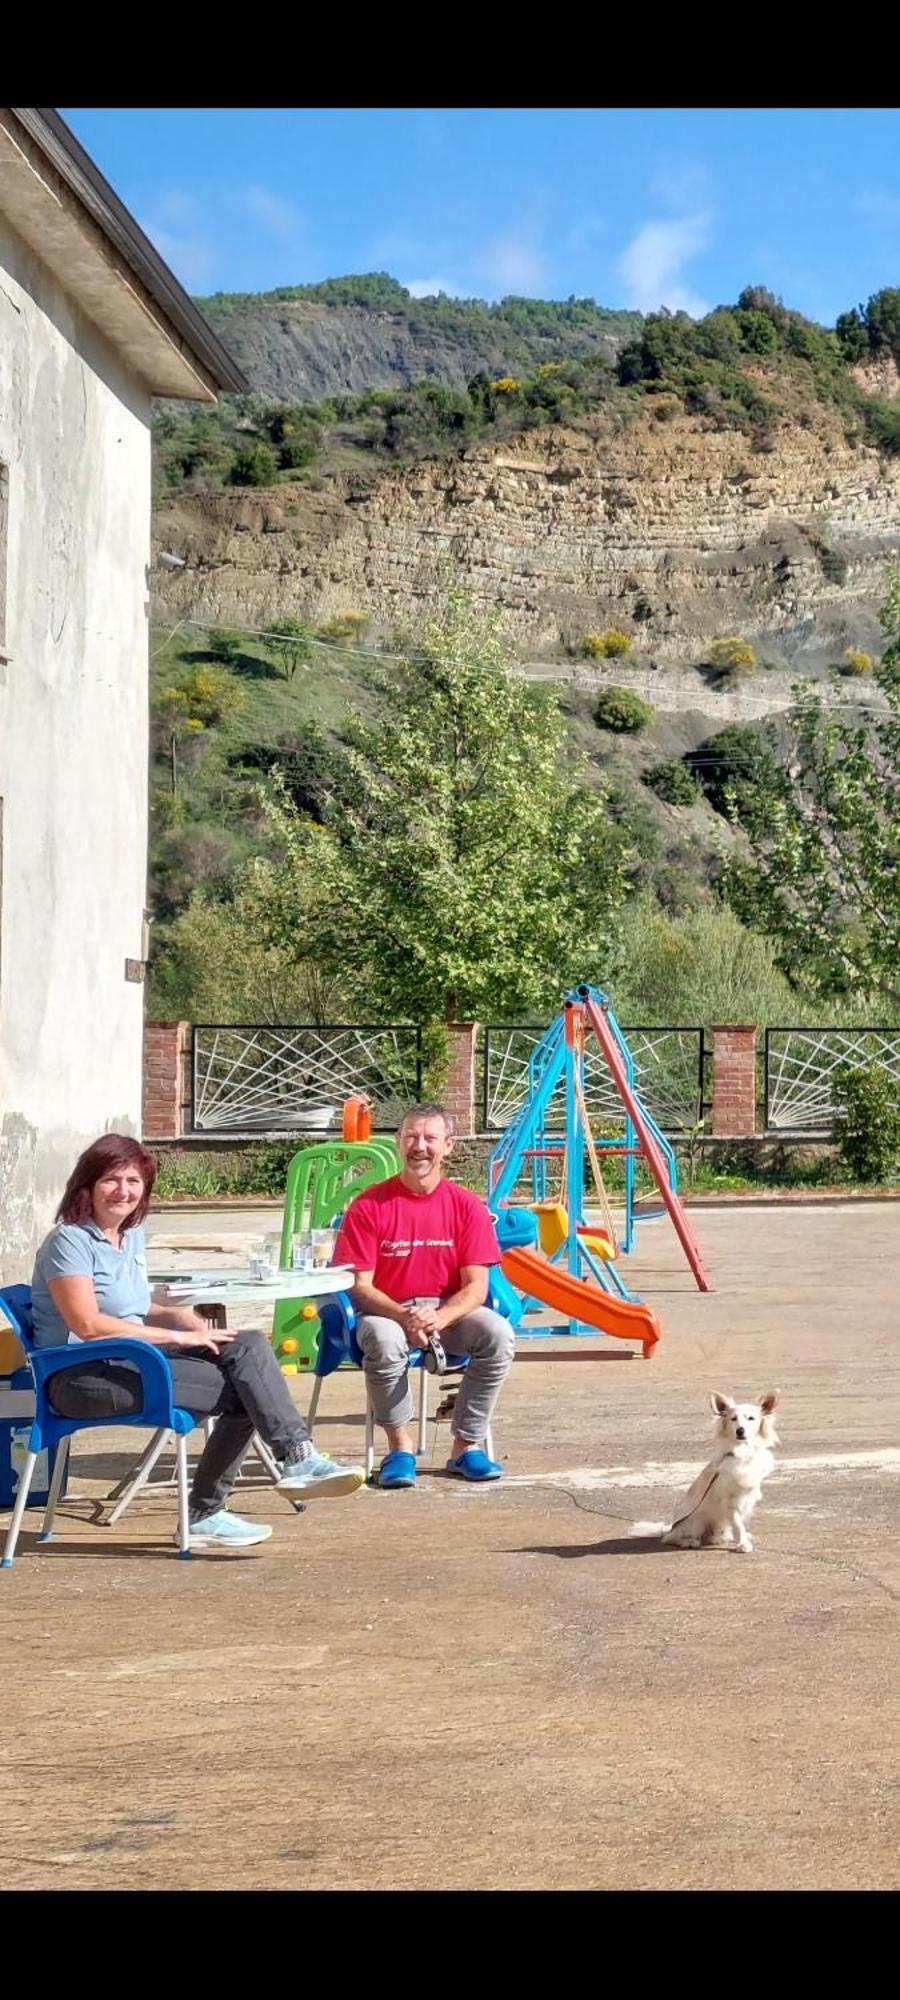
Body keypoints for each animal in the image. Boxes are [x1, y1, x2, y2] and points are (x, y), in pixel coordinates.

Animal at [660, 1392, 780, 1544]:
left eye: (751, 1418)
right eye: (733, 1419)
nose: (740, 1430)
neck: (742, 1452)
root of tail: (671, 1528)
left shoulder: (747, 1498)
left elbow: (740, 1522)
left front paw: (743, 1538)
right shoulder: (729, 1500)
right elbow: (737, 1523)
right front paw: (743, 1543)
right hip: (696, 1521)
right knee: (673, 1538)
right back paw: (690, 1542)